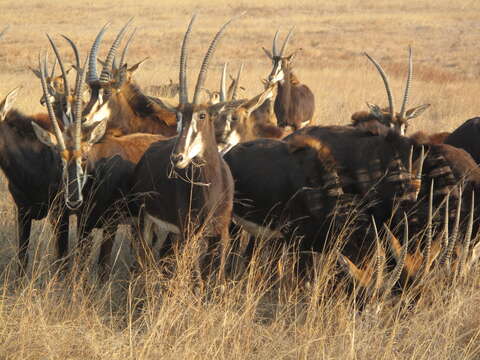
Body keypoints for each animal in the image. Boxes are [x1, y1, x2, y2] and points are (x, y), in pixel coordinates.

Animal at [130, 14, 239, 278]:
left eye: (202, 115)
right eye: (178, 116)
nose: (177, 157)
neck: (212, 186)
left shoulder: (220, 234)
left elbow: (215, 275)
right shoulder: (189, 234)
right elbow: (194, 275)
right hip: (145, 219)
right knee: (143, 254)